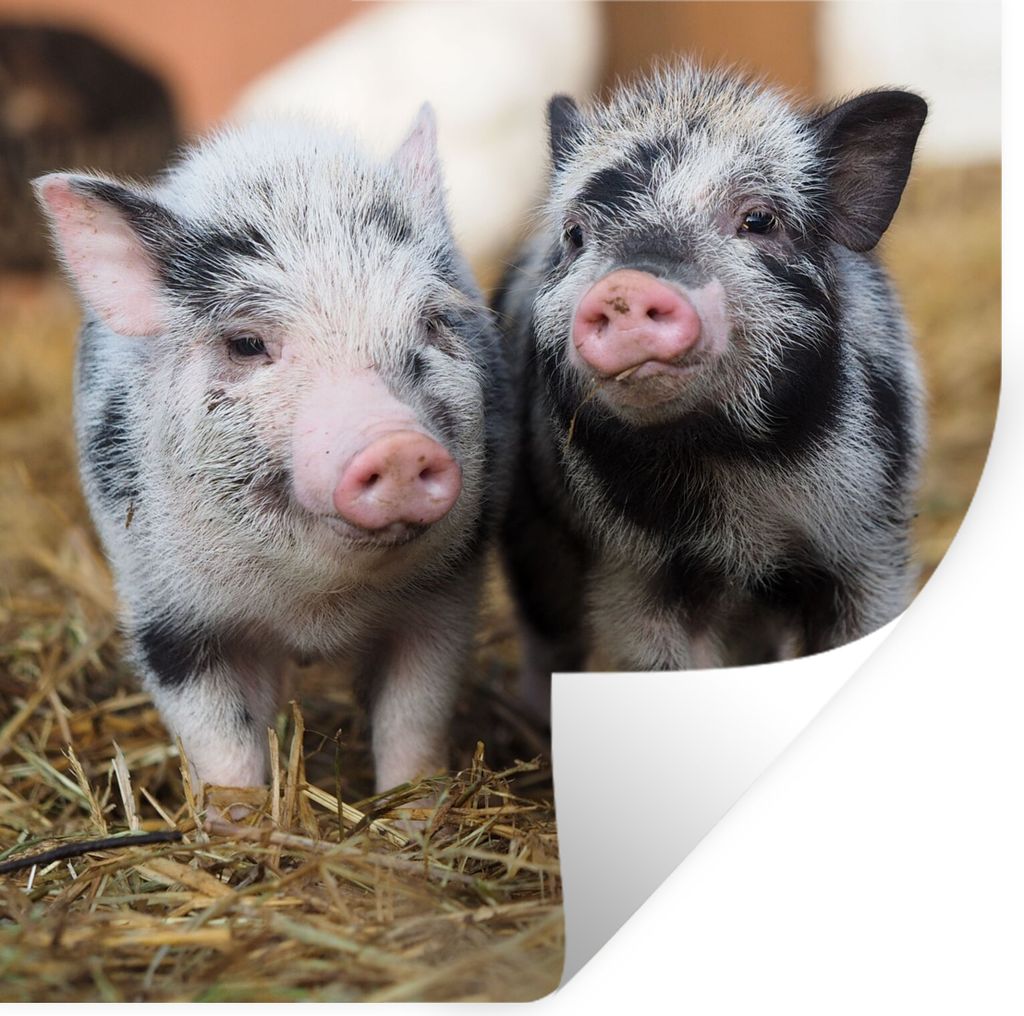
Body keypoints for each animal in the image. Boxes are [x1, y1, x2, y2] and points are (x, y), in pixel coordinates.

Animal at [35, 108, 512, 800]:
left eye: (430, 323)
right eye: (247, 343)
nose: (397, 443)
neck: (316, 607)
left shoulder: (445, 595)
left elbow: (413, 718)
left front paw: (412, 809)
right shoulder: (166, 613)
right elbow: (221, 742)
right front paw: (239, 820)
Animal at [495, 61, 927, 706]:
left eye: (759, 219)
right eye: (574, 234)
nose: (627, 287)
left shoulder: (868, 542)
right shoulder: (632, 572)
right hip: (532, 535)